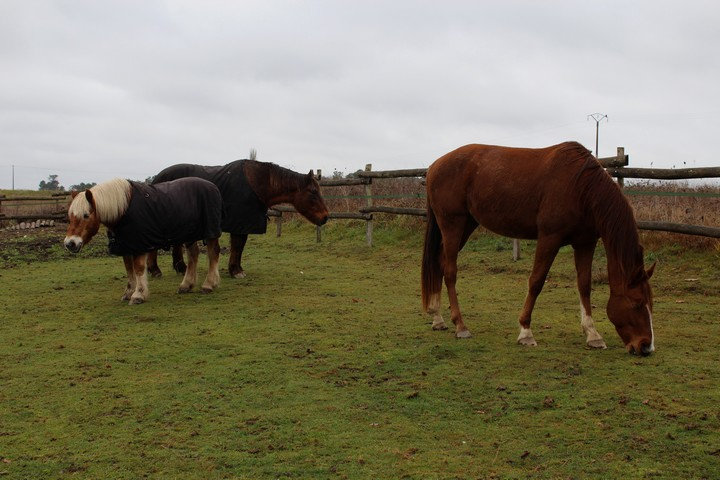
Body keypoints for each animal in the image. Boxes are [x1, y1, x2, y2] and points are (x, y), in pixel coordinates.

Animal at [65, 176, 224, 304]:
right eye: (70, 215)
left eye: (86, 215)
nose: (70, 243)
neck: (124, 209)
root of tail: (213, 186)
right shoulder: (126, 245)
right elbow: (129, 269)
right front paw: (128, 293)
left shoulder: (139, 245)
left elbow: (139, 268)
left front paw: (138, 295)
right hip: (190, 234)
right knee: (193, 255)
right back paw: (186, 285)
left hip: (210, 233)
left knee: (213, 253)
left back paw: (209, 284)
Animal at [147, 158, 332, 278]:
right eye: (313, 192)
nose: (325, 217)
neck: (257, 183)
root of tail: (156, 179)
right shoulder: (240, 223)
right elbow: (237, 246)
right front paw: (236, 270)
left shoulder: (244, 224)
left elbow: (240, 247)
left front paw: (236, 268)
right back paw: (155, 270)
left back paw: (180, 268)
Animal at [422, 141, 660, 354]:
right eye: (637, 303)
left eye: (651, 304)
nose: (646, 346)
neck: (581, 187)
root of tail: (434, 166)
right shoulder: (549, 238)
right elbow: (536, 281)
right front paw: (526, 332)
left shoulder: (585, 243)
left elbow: (584, 285)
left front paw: (593, 335)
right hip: (453, 224)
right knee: (450, 271)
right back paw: (460, 326)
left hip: (467, 224)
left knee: (440, 262)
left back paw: (437, 317)